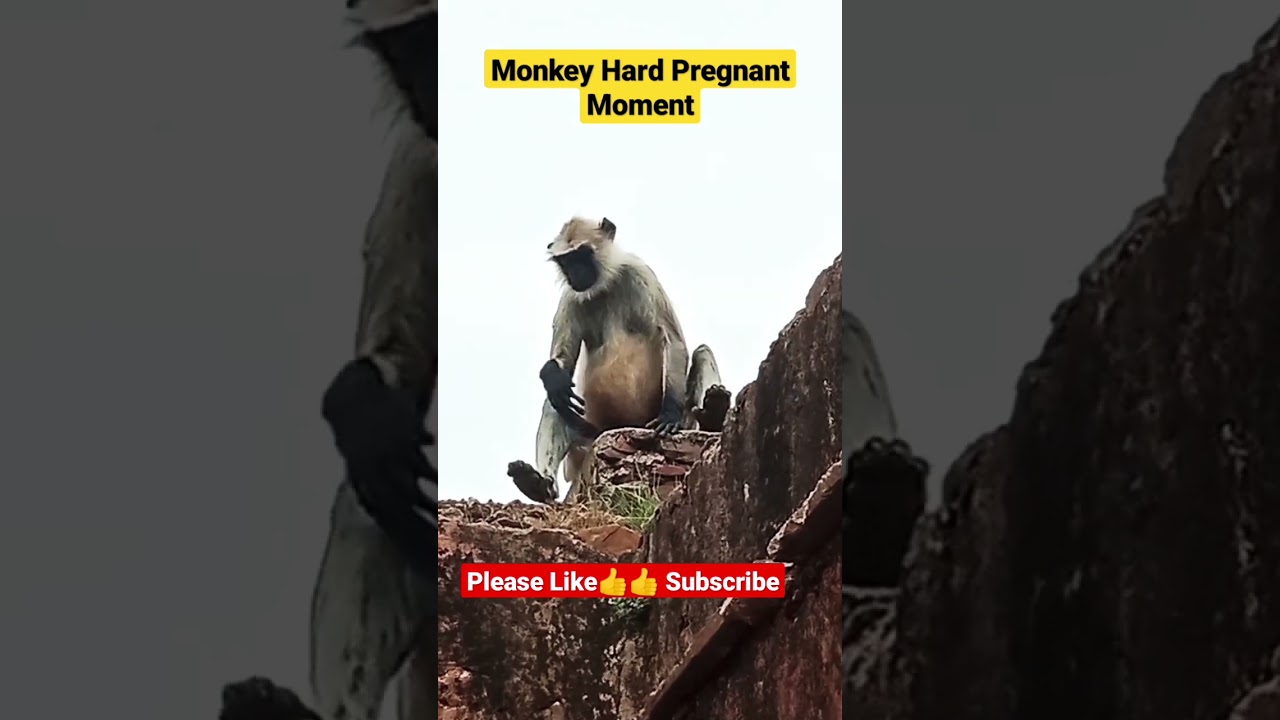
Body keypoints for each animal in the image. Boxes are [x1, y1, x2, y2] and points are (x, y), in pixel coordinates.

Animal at [506, 217, 733, 504]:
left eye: (583, 255)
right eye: (566, 262)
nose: (576, 274)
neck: (605, 284)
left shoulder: (640, 272)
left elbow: (674, 340)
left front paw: (670, 412)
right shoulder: (570, 296)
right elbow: (562, 365)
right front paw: (550, 373)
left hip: (678, 419)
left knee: (702, 352)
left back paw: (714, 414)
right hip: (593, 431)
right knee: (556, 398)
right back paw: (538, 484)